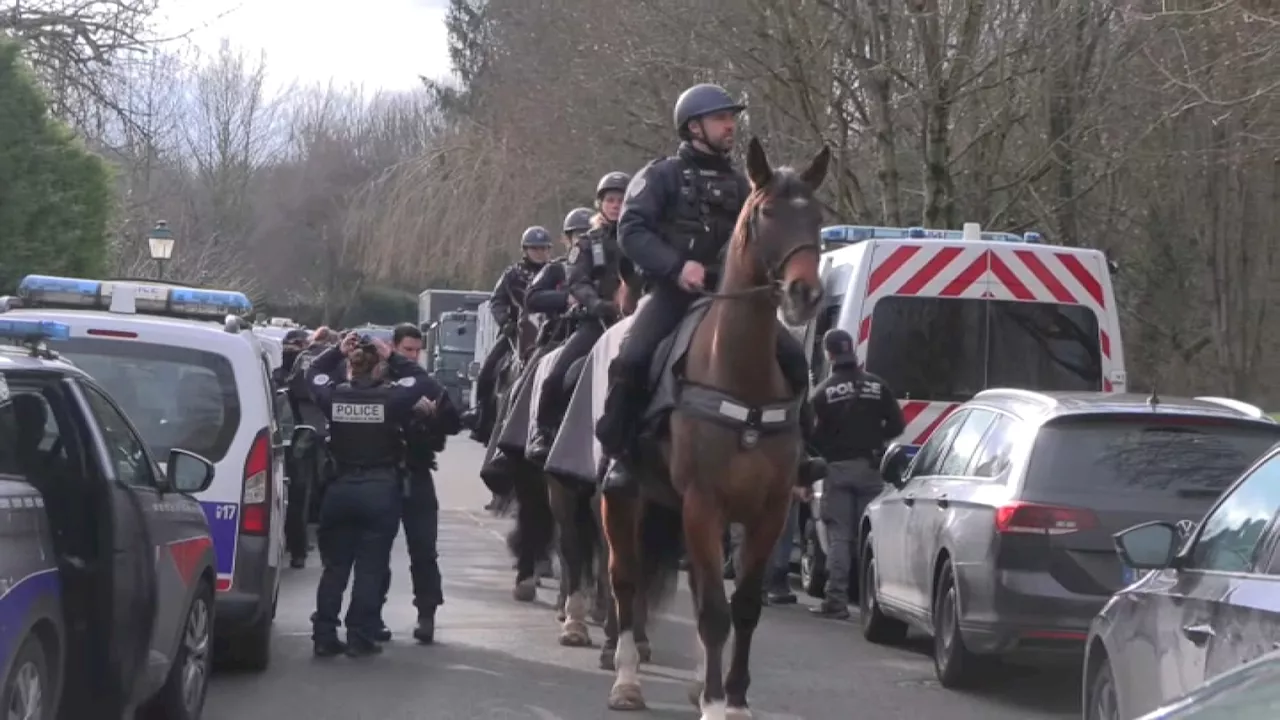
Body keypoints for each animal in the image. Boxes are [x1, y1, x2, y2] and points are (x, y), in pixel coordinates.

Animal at [599, 137, 829, 712]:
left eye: (816, 216)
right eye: (766, 213)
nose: (805, 294)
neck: (740, 374)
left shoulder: (768, 511)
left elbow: (742, 607)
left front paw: (734, 698)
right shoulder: (704, 506)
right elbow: (711, 611)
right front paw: (717, 703)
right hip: (624, 497)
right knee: (625, 581)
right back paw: (627, 679)